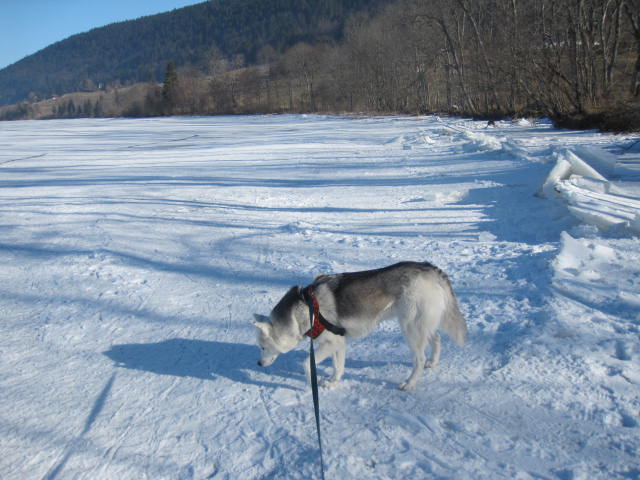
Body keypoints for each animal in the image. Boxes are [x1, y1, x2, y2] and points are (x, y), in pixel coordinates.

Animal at [252, 262, 468, 390]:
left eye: (262, 347)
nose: (259, 364)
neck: (307, 309)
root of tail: (428, 268)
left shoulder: (330, 344)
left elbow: (307, 364)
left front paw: (312, 383)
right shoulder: (338, 343)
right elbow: (338, 367)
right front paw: (332, 382)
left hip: (410, 329)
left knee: (419, 359)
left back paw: (410, 382)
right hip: (420, 326)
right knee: (436, 338)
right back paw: (433, 362)